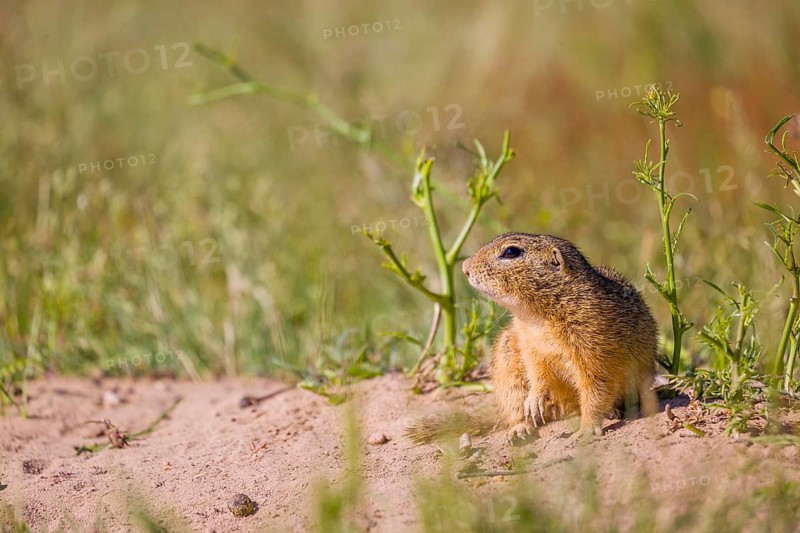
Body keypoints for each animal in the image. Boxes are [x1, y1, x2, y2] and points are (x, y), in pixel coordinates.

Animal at [405, 232, 658, 444]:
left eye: (511, 252)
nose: (465, 267)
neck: (538, 318)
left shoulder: (595, 348)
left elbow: (596, 390)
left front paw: (587, 428)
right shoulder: (530, 347)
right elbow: (537, 374)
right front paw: (535, 399)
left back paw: (613, 411)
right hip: (507, 368)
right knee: (515, 409)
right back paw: (520, 429)